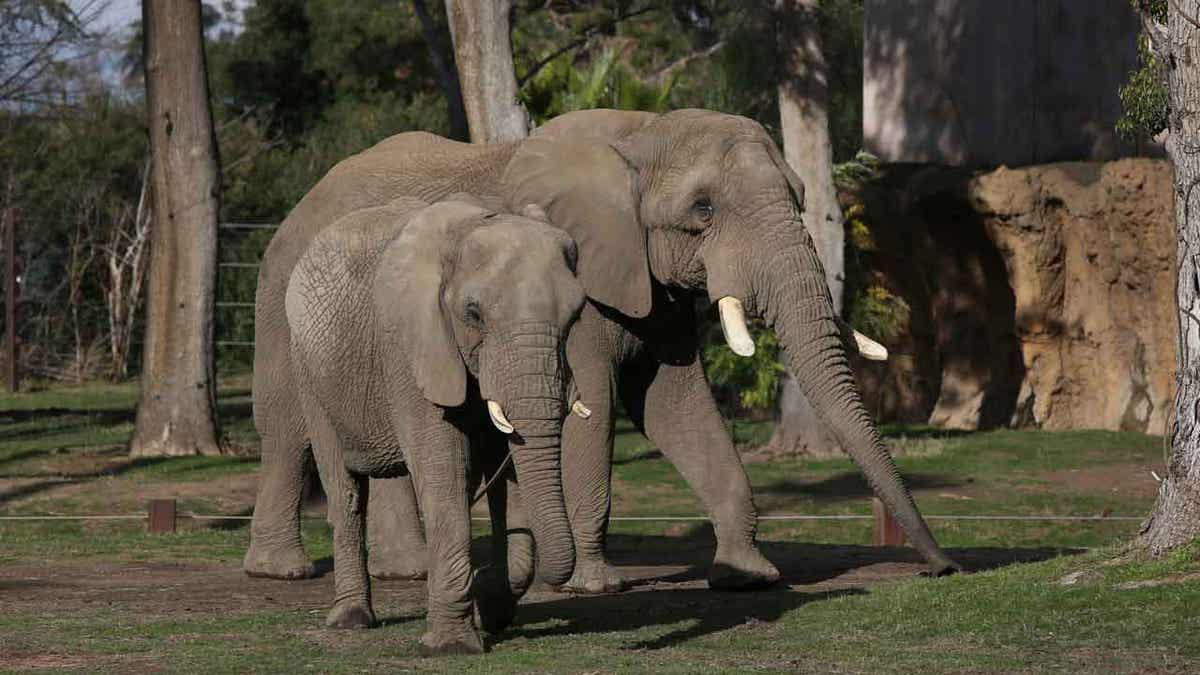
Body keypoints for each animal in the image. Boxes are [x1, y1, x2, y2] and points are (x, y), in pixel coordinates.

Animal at [246, 107, 964, 595]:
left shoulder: (655, 288)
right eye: (703, 209)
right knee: (287, 430)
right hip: (283, 303)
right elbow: (592, 402)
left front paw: (748, 575)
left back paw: (410, 570)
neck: (641, 135)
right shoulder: (578, 282)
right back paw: (284, 571)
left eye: (799, 196)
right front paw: (596, 583)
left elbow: (679, 406)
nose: (942, 566)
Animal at [277, 193, 585, 653]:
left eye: (576, 316)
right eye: (473, 314)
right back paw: (351, 620)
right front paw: (452, 646)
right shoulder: (411, 346)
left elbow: (506, 472)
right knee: (344, 490)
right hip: (309, 373)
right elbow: (444, 469)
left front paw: (490, 606)